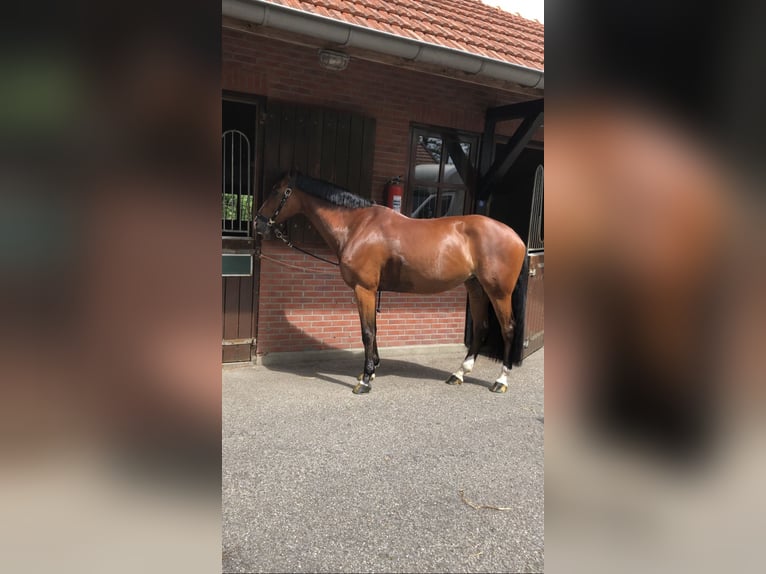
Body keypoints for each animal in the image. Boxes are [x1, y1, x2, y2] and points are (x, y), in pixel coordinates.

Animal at [254, 171, 529, 395]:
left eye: (276, 190)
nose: (257, 223)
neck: (357, 226)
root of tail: (516, 237)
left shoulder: (363, 289)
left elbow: (367, 332)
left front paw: (365, 380)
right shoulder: (371, 290)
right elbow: (373, 330)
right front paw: (372, 369)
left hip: (499, 292)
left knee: (508, 329)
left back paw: (501, 381)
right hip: (476, 288)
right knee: (481, 328)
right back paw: (459, 374)